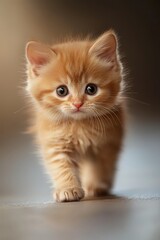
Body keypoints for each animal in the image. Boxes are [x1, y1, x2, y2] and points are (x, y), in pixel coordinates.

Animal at [25, 30, 125, 202]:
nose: (77, 104)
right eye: (61, 91)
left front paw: (96, 186)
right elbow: (61, 167)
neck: (79, 125)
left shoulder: (106, 144)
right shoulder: (55, 143)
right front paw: (68, 189)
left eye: (91, 89)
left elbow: (100, 167)